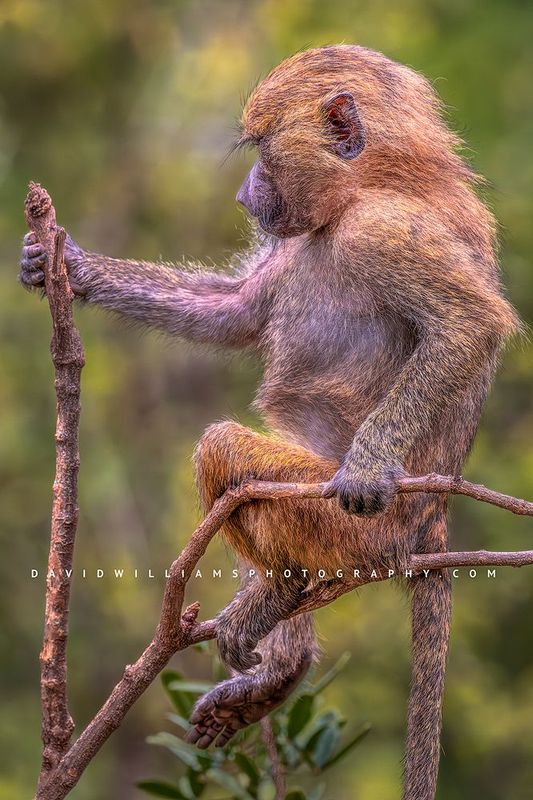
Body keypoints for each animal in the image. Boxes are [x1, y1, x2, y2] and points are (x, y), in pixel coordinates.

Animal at [20, 45, 518, 800]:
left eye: (260, 150)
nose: (243, 197)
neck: (366, 187)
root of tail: (430, 521)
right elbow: (237, 311)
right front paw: (66, 263)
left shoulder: (385, 233)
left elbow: (470, 324)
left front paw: (368, 465)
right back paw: (278, 663)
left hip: (353, 529)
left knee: (227, 454)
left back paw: (277, 609)